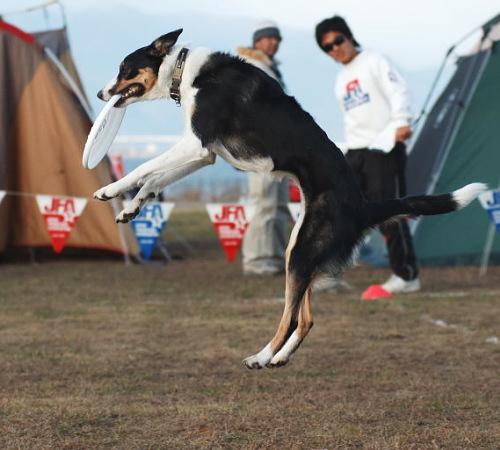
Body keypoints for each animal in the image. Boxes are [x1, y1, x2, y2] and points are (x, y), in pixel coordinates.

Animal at [93, 29, 484, 370]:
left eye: (125, 69)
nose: (100, 93)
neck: (185, 69)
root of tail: (362, 205)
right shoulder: (206, 155)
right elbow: (153, 179)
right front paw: (131, 208)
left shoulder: (197, 144)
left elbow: (143, 167)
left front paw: (109, 190)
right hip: (300, 252)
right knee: (306, 318)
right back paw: (279, 359)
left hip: (301, 253)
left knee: (290, 317)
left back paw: (261, 357)